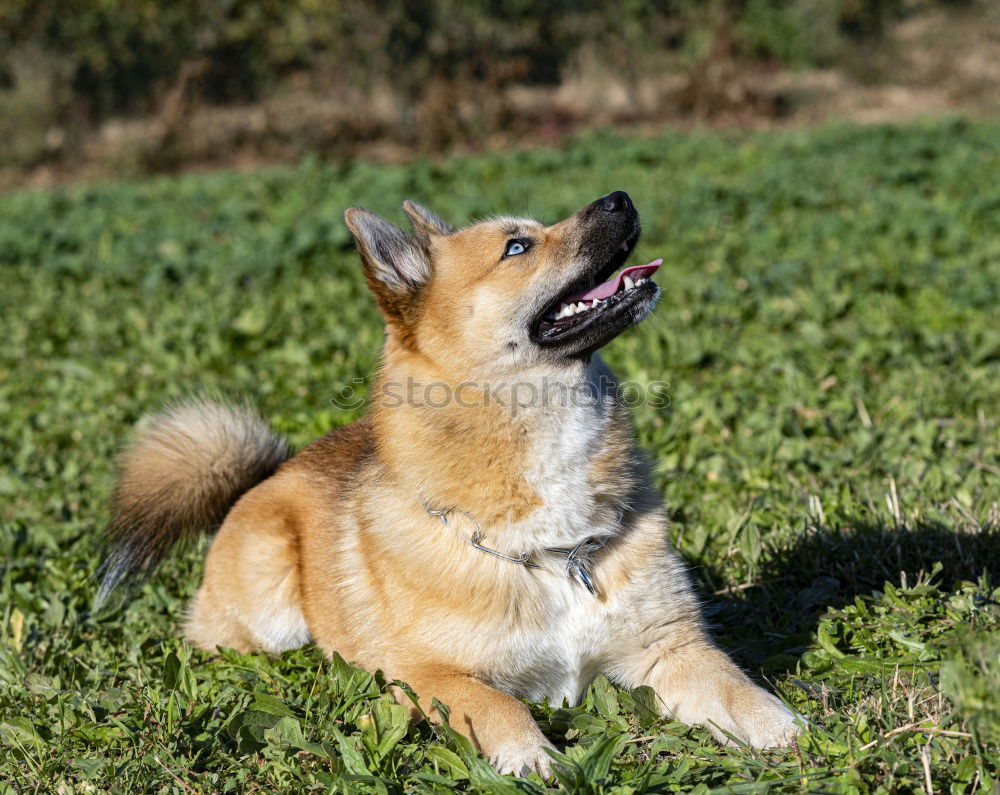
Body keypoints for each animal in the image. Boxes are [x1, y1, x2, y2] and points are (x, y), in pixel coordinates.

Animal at [99, 191, 796, 776]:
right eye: (517, 246)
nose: (621, 197)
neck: (553, 555)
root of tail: (268, 475)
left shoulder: (666, 649)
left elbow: (736, 685)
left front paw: (788, 735)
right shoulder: (424, 676)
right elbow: (497, 705)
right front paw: (531, 757)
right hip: (268, 615)